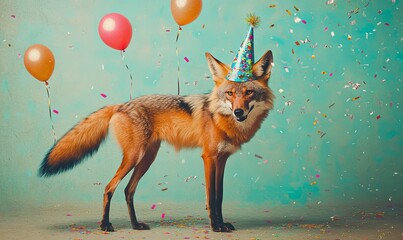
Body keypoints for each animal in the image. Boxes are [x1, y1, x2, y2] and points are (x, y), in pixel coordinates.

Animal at [38, 50, 274, 232]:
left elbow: (221, 196)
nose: (238, 112)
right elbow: (212, 198)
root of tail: (121, 105)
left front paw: (223, 224)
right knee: (109, 187)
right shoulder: (209, 157)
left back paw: (135, 225)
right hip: (134, 157)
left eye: (249, 92)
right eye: (230, 93)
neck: (221, 120)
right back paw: (105, 225)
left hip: (147, 159)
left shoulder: (222, 159)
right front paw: (216, 227)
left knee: (128, 190)